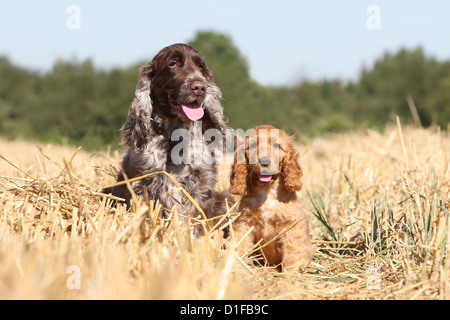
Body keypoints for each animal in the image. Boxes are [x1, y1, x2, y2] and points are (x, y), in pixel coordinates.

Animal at [230, 125, 312, 272]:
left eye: (276, 145)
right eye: (253, 145)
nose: (264, 162)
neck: (267, 191)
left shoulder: (292, 225)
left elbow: (293, 252)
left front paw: (290, 273)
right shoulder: (245, 222)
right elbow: (240, 243)